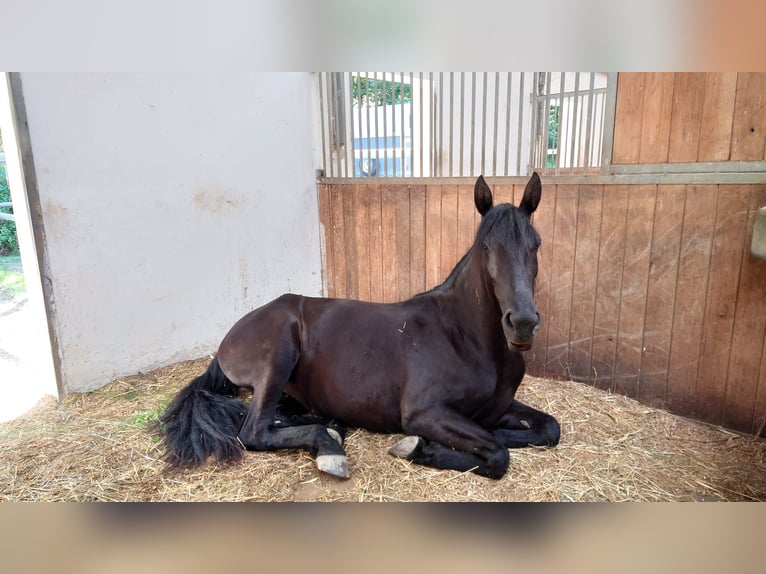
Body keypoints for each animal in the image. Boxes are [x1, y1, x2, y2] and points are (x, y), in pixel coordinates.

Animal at [160, 173, 560, 480]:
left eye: (537, 245)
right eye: (487, 247)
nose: (523, 323)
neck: (464, 338)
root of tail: (230, 337)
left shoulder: (495, 409)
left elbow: (547, 428)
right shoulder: (425, 413)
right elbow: (497, 454)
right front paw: (419, 449)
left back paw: (333, 428)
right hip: (278, 354)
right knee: (255, 430)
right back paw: (328, 447)